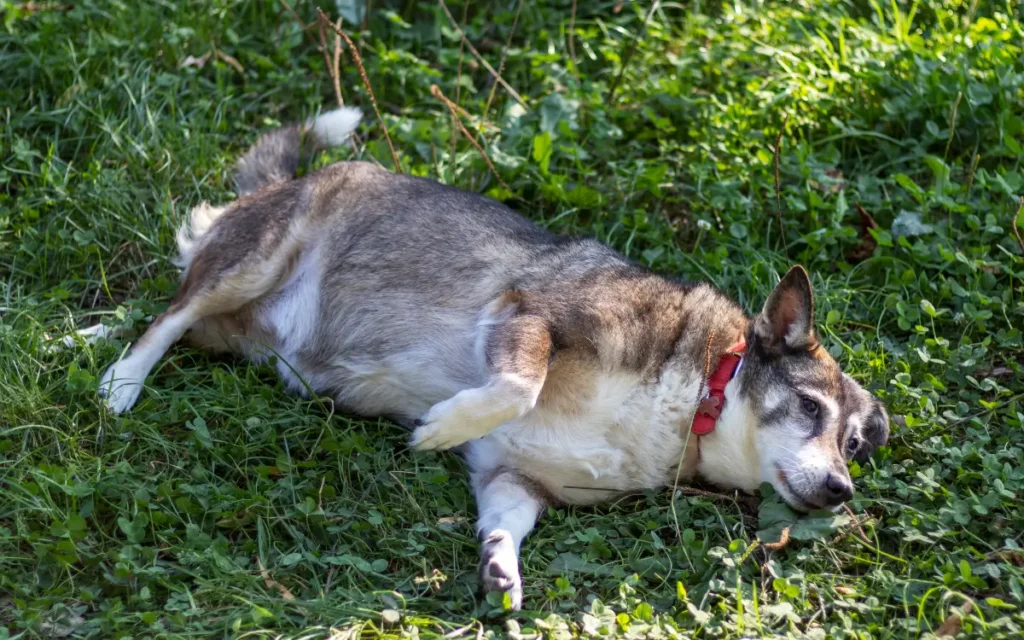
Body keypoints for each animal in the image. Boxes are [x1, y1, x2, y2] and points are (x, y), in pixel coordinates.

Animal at [81, 105, 888, 610]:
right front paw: (439, 425)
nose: (842, 491)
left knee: (177, 317)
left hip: (240, 323)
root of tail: (290, 181)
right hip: (255, 257)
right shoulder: (530, 317)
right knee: (168, 313)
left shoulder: (511, 476)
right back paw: (120, 378)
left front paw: (501, 569)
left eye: (854, 444)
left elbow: (506, 522)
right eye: (809, 408)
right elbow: (515, 387)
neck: (697, 396)